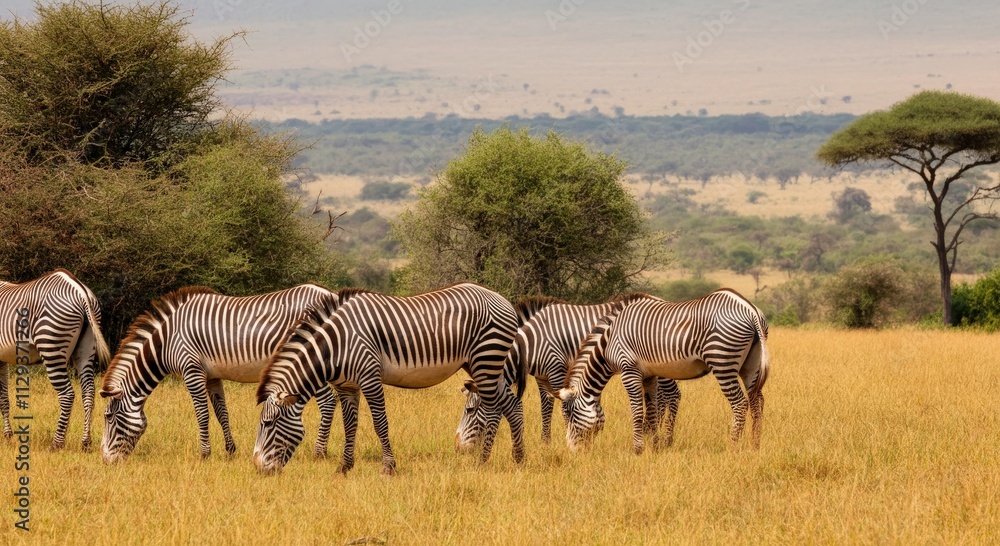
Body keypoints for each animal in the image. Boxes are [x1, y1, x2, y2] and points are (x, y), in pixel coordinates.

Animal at [0, 269, 111, 451]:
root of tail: (80, 290)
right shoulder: (1, 360)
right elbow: (3, 398)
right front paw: (8, 436)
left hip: (51, 346)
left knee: (67, 394)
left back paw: (56, 443)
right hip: (86, 349)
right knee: (88, 392)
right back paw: (85, 442)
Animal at [99, 284, 355, 463]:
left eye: (108, 417)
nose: (105, 460)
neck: (166, 340)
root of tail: (330, 294)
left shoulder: (191, 370)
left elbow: (202, 414)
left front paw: (204, 454)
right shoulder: (212, 376)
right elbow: (221, 412)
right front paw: (230, 451)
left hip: (310, 364)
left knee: (329, 402)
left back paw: (319, 452)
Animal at [253, 282, 524, 476]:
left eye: (267, 424)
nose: (258, 469)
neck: (335, 345)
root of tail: (502, 299)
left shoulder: (370, 377)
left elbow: (379, 423)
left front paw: (388, 468)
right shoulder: (346, 386)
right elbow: (350, 425)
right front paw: (344, 467)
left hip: (486, 358)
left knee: (494, 409)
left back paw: (483, 462)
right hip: (483, 364)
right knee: (512, 405)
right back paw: (519, 458)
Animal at [455, 293, 682, 450]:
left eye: (470, 410)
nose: (458, 448)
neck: (531, 345)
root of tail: (659, 299)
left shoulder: (556, 370)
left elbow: (564, 408)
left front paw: (569, 438)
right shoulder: (542, 378)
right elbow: (545, 408)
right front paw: (545, 443)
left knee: (673, 395)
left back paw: (667, 440)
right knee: (662, 397)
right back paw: (651, 432)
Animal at [559, 288, 770, 454]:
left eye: (570, 415)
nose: (573, 451)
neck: (608, 341)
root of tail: (749, 309)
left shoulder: (629, 371)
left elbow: (637, 411)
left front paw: (638, 450)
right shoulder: (649, 376)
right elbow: (652, 411)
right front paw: (654, 448)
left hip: (722, 362)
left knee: (740, 403)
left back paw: (732, 448)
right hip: (750, 366)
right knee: (757, 401)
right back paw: (755, 446)